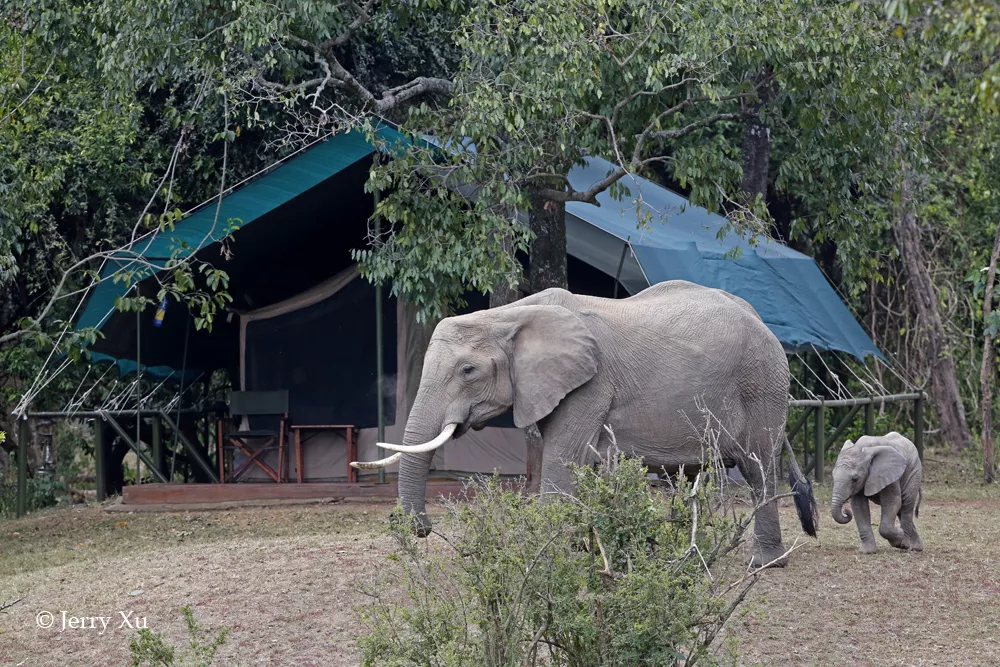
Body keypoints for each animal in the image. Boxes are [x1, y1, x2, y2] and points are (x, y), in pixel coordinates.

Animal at [356, 282, 816, 568]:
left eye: (468, 371)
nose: (419, 527)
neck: (508, 316)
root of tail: (762, 322)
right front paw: (583, 552)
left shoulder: (591, 384)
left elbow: (563, 459)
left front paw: (547, 560)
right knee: (691, 478)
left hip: (762, 385)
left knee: (758, 469)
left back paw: (764, 563)